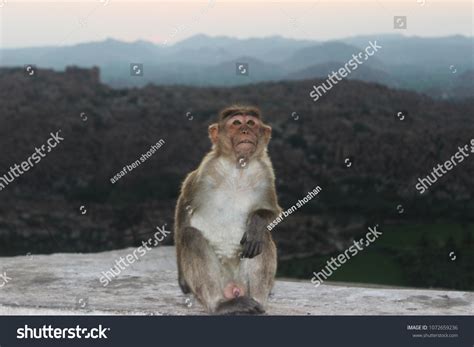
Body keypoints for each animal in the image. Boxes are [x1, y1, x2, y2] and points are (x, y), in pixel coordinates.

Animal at [175, 105, 282, 316]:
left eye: (251, 123)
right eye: (236, 123)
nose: (245, 131)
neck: (238, 166)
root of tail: (233, 288)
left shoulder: (266, 173)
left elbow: (273, 212)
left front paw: (256, 221)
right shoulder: (204, 172)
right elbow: (184, 204)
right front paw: (182, 279)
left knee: (262, 238)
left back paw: (258, 302)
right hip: (221, 280)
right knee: (190, 235)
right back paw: (219, 305)